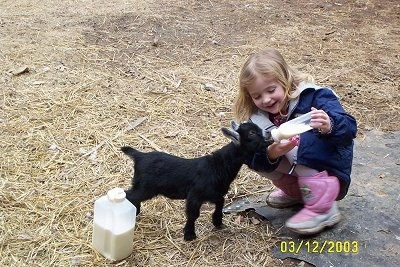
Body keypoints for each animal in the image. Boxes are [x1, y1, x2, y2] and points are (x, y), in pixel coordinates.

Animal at [121, 122, 272, 242]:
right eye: (252, 133)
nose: (268, 133)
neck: (218, 165)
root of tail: (139, 156)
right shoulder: (195, 195)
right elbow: (193, 214)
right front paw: (189, 235)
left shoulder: (214, 194)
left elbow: (220, 203)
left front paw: (217, 222)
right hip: (146, 187)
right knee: (129, 195)